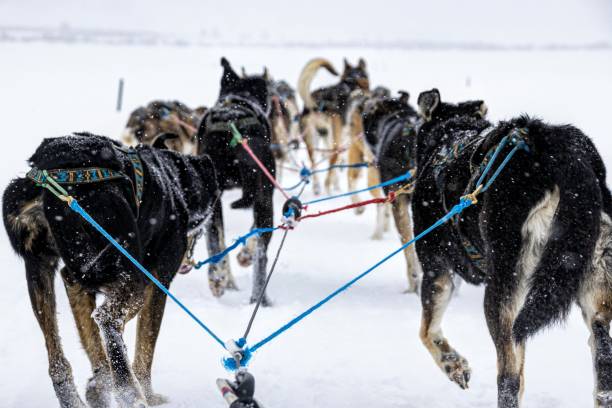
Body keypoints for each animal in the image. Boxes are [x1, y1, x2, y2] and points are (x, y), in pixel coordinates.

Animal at [1, 134, 218, 408]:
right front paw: (147, 393)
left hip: (42, 270)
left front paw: (99, 383)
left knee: (59, 360)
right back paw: (131, 393)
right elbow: (146, 345)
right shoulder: (158, 282)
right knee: (108, 318)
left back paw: (83, 393)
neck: (172, 182)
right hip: (130, 274)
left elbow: (92, 342)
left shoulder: (74, 284)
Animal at [412, 88, 612, 404]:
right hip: (591, 284)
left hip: (504, 290)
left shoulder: (436, 269)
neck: (449, 138)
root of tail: (555, 151)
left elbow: (426, 331)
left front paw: (453, 364)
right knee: (603, 354)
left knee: (508, 377)